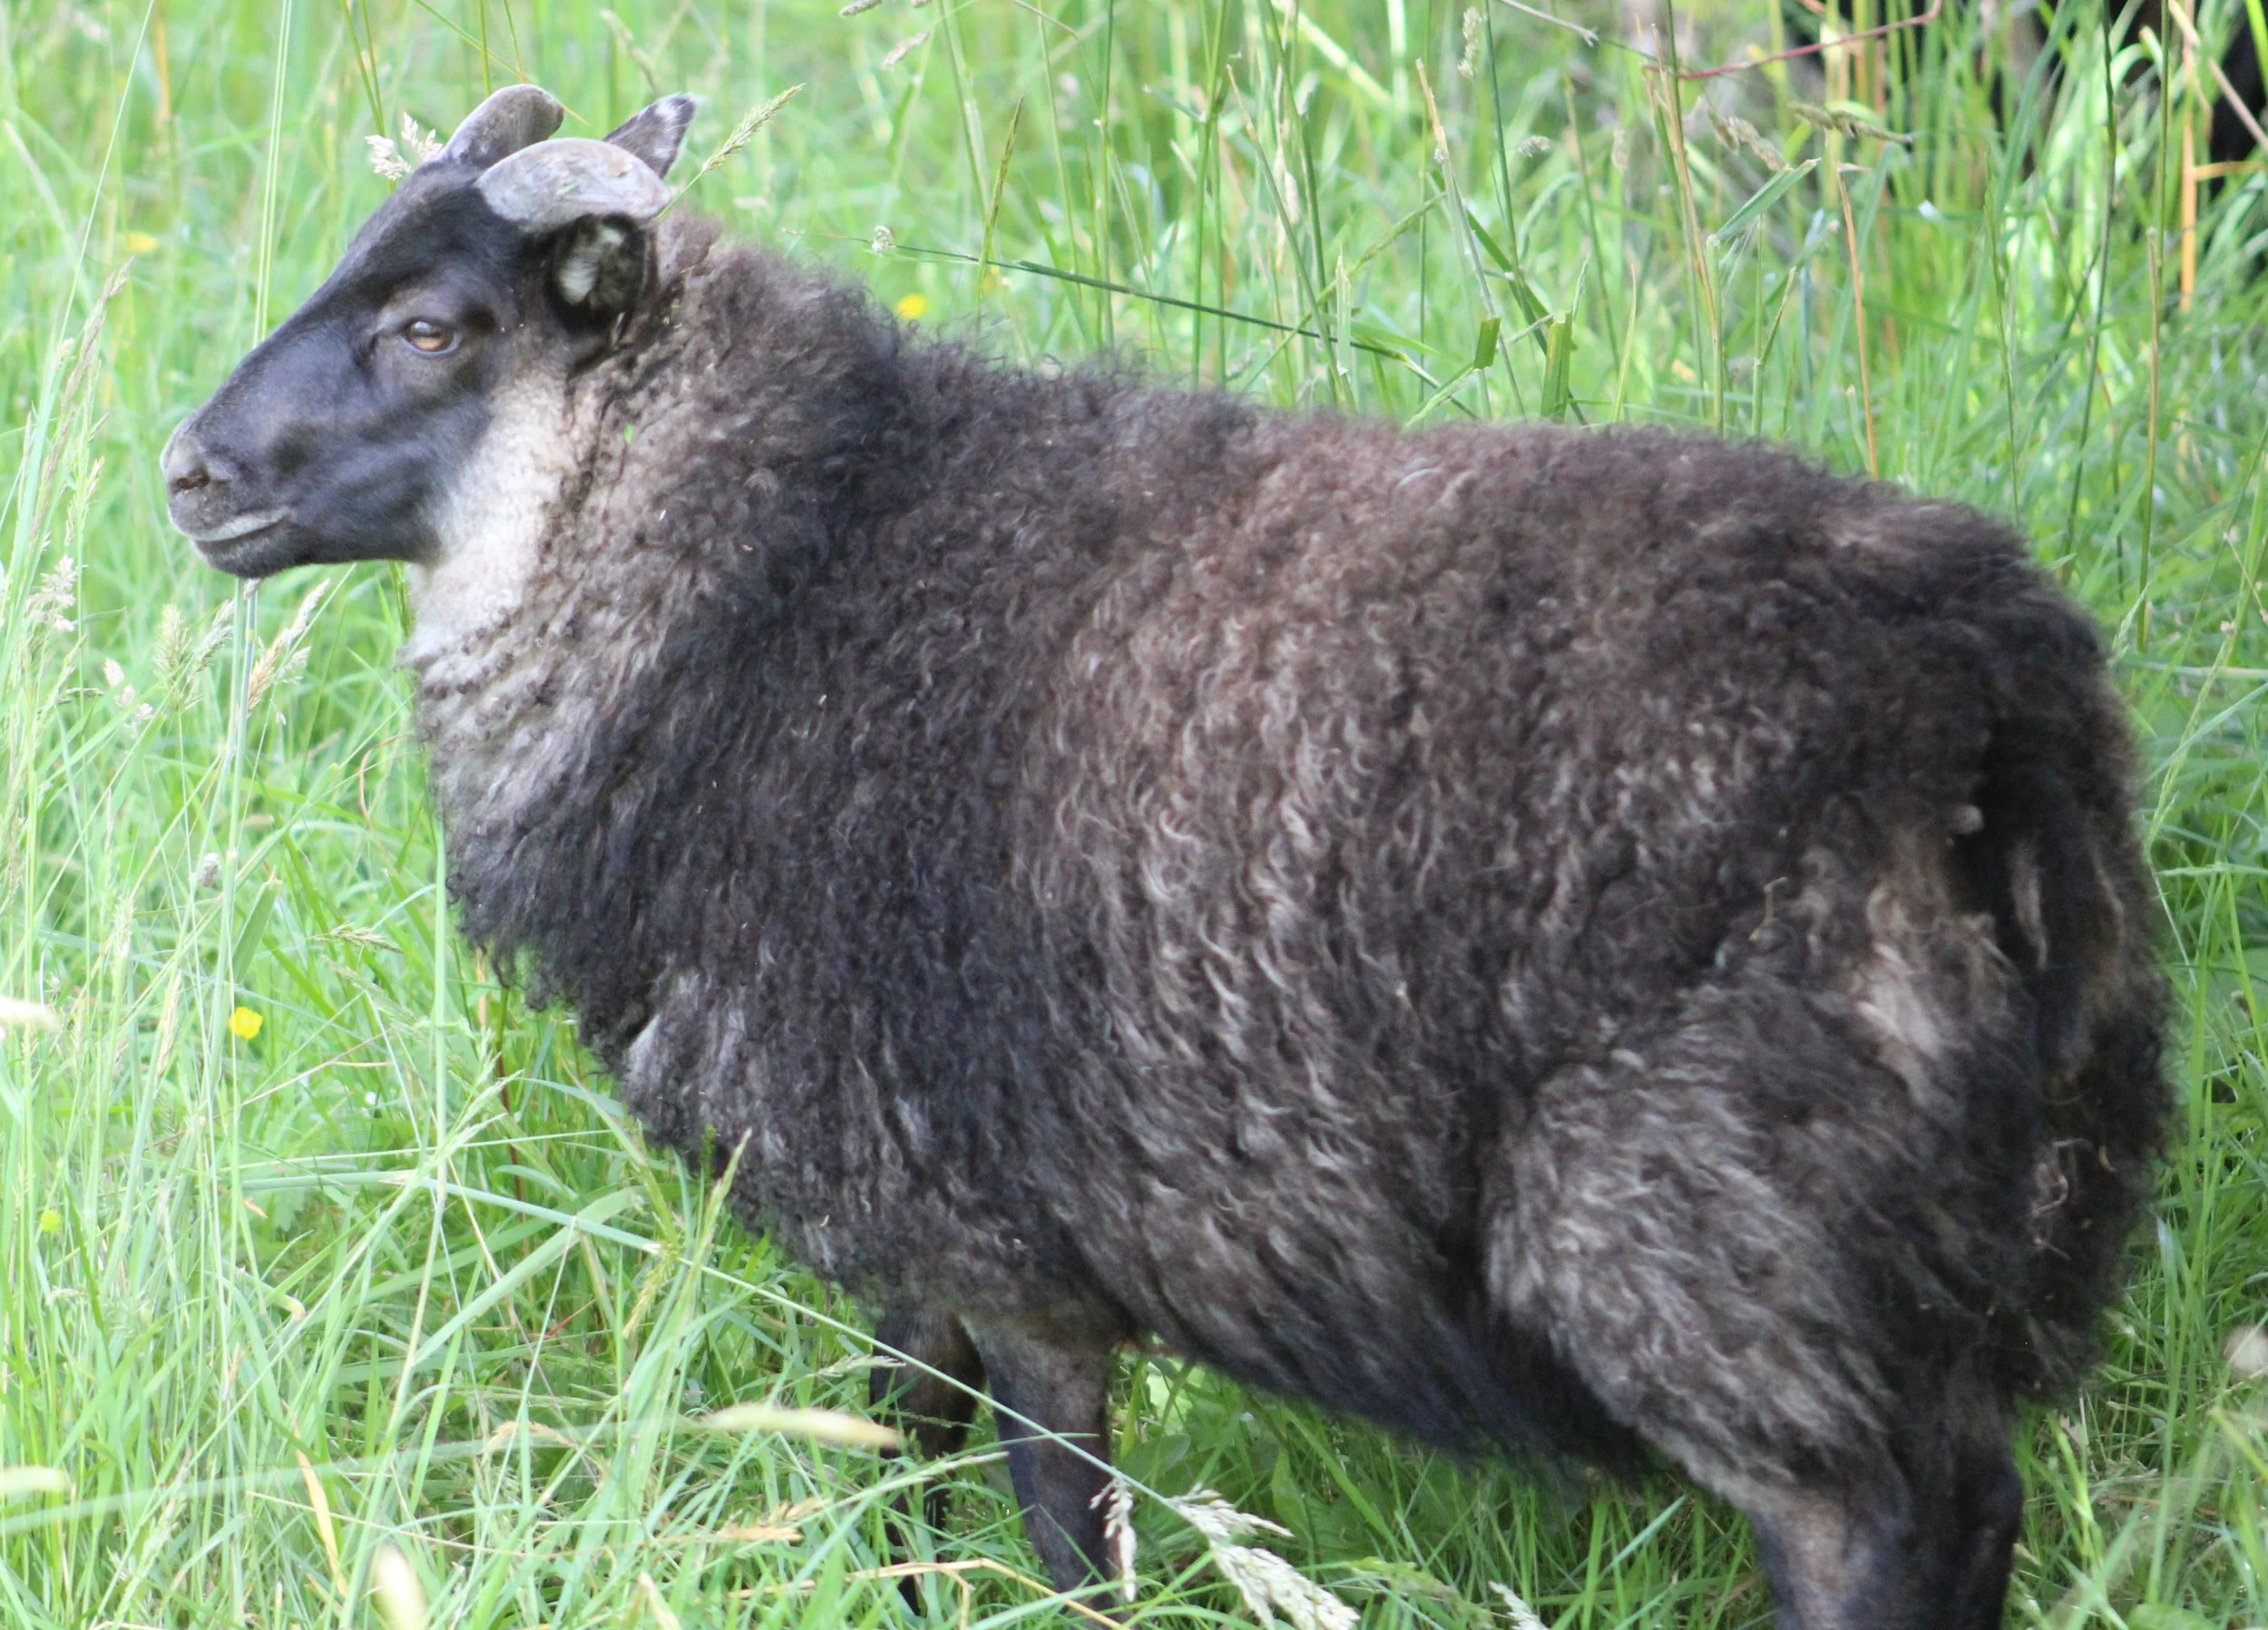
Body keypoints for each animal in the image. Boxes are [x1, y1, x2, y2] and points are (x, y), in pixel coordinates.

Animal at [162, 84, 2166, 1630]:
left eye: (434, 327)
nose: (186, 473)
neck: (770, 582)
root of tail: (1991, 714)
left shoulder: (1009, 1244)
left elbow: (1056, 1526)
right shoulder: (910, 1240)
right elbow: (895, 1463)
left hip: (1723, 1243)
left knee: (1878, 1532)